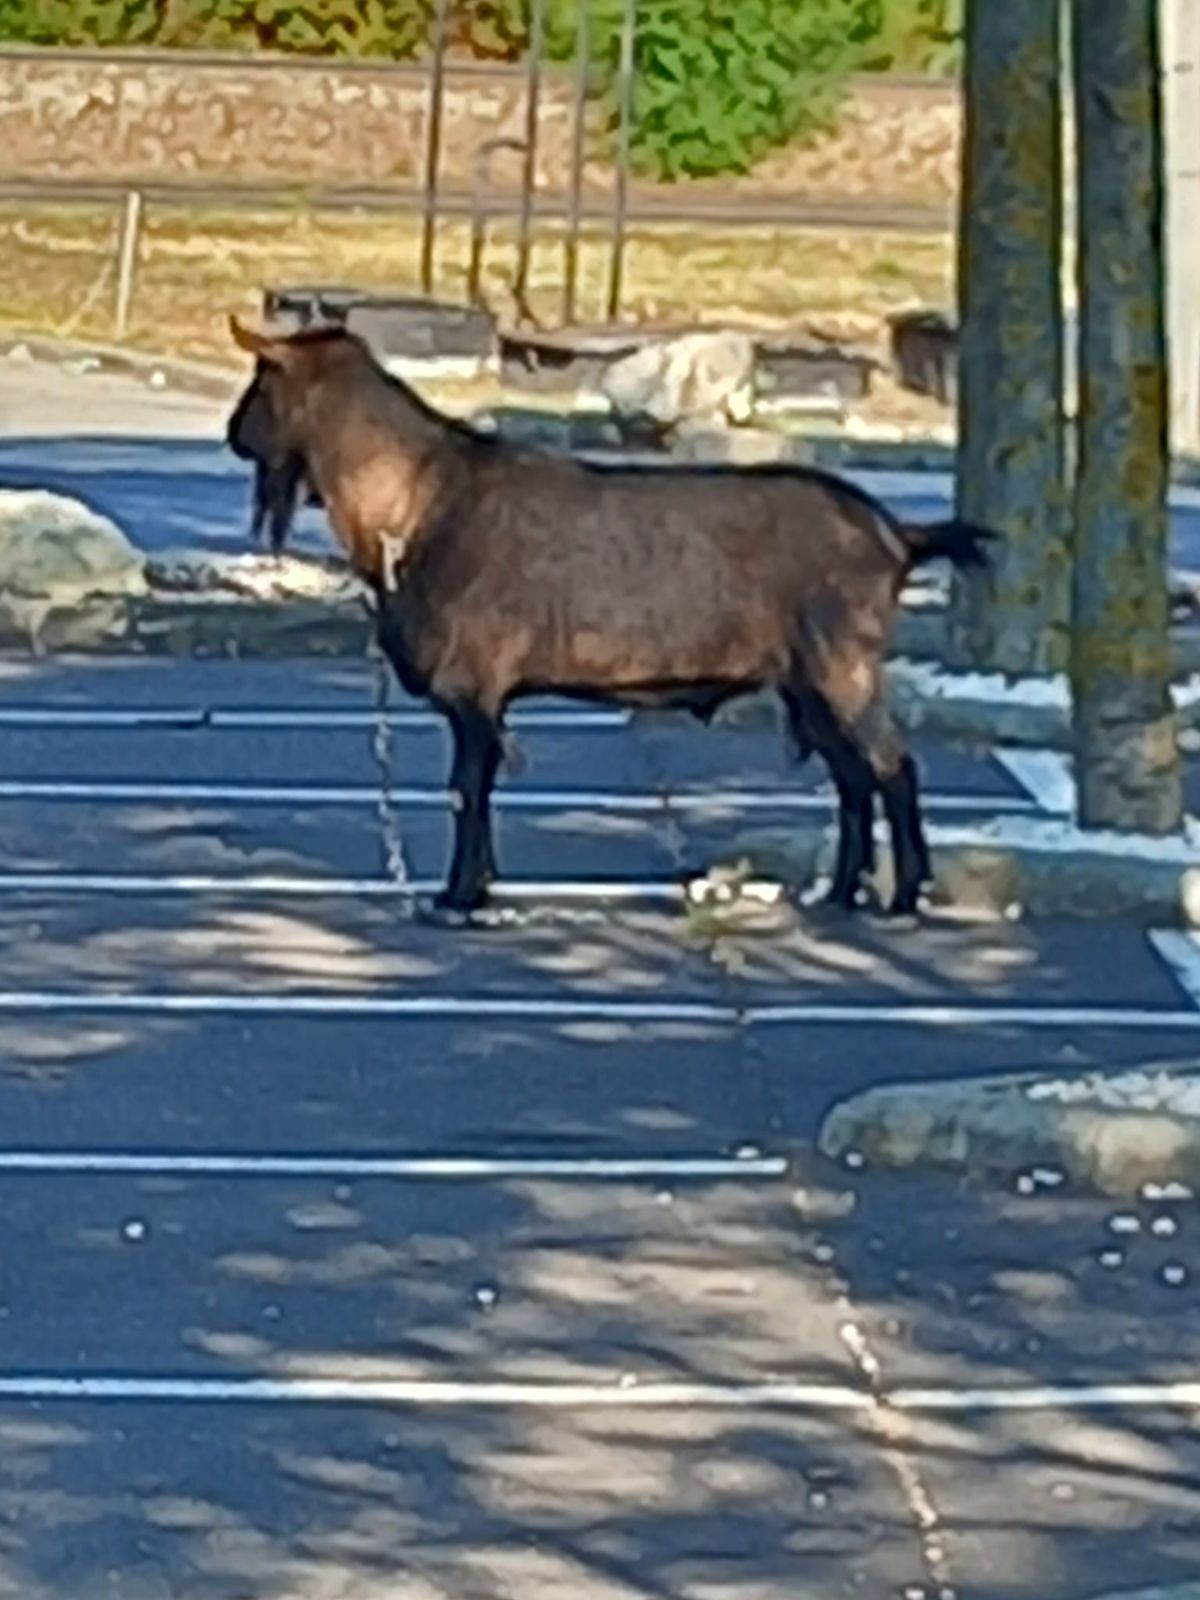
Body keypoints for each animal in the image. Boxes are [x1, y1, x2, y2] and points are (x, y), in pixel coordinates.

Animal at [225, 315, 998, 915]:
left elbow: (467, 791)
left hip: (844, 662)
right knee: (853, 777)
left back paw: (904, 896)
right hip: (806, 680)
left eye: (261, 380)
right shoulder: (484, 696)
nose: (233, 433)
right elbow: (478, 788)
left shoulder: (474, 684)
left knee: (893, 767)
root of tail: (896, 535)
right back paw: (840, 893)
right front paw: (477, 889)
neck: (416, 501)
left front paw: (457, 896)